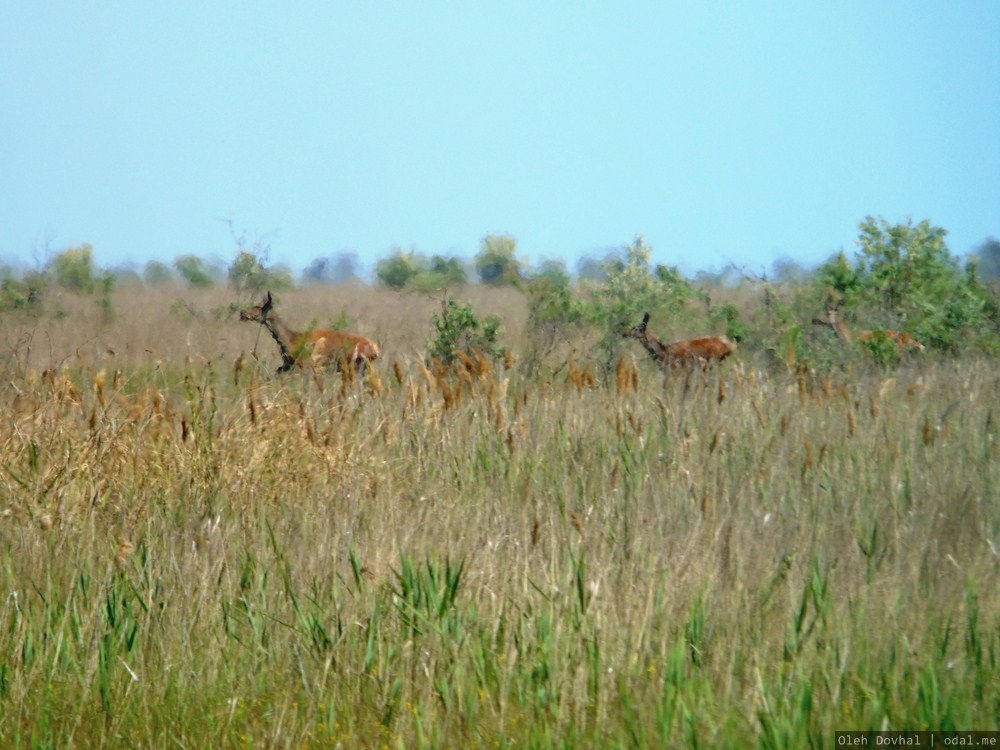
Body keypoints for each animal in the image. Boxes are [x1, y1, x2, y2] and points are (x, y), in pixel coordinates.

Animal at [240, 292, 380, 376]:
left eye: (259, 306)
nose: (242, 313)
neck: (290, 340)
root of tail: (375, 349)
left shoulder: (306, 366)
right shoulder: (288, 366)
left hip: (354, 366)